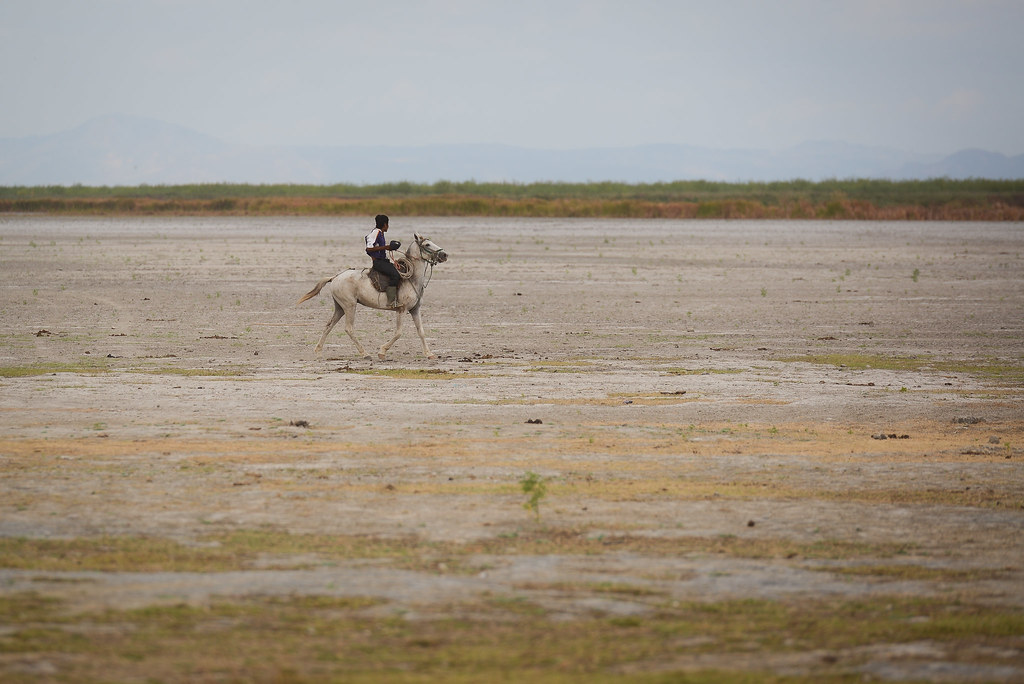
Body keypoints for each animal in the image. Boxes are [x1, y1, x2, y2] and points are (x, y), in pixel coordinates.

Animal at [296, 232, 448, 360]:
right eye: (427, 244)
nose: (444, 255)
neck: (412, 279)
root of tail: (335, 277)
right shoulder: (401, 310)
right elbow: (398, 333)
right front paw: (382, 351)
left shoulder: (415, 310)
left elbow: (421, 331)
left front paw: (429, 353)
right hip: (350, 306)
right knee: (349, 329)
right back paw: (365, 353)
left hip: (340, 308)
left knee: (329, 325)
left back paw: (318, 351)